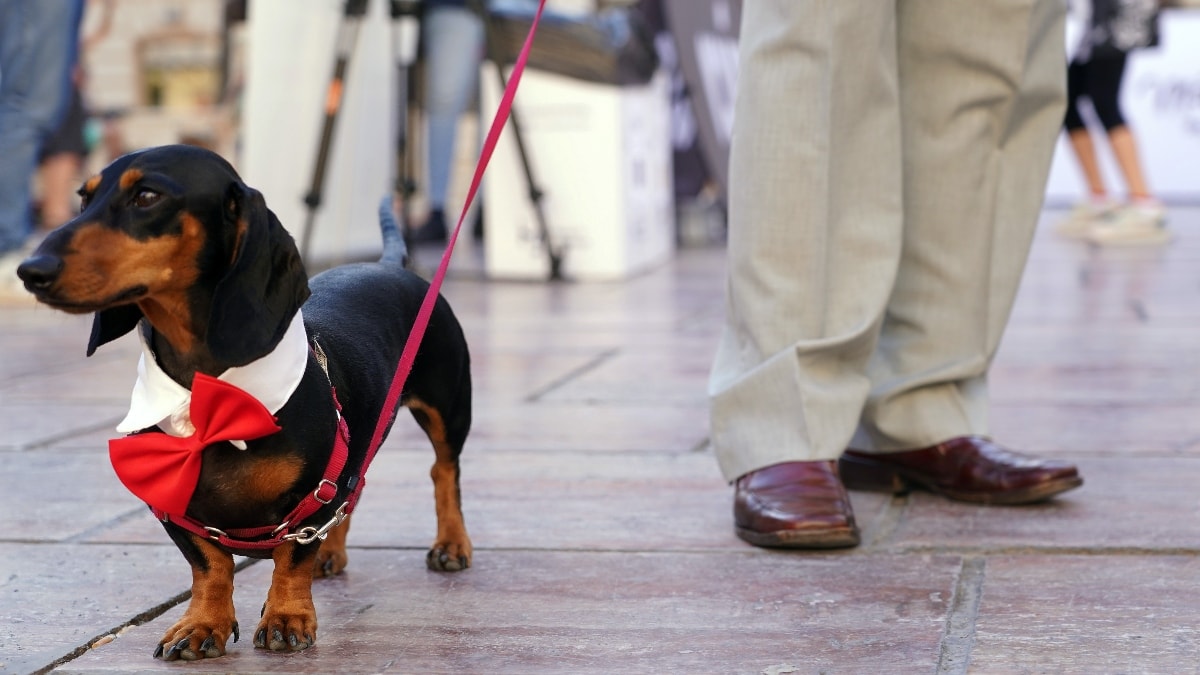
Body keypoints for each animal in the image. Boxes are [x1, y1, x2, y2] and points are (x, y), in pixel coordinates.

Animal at [16, 142, 472, 658]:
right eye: (84, 197)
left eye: (147, 195)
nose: (30, 271)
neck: (208, 392)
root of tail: (389, 264)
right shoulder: (175, 512)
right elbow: (211, 566)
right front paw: (201, 624)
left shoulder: (314, 493)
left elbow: (292, 557)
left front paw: (287, 617)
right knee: (355, 492)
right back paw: (332, 552)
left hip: (448, 408)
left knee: (443, 471)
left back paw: (451, 545)